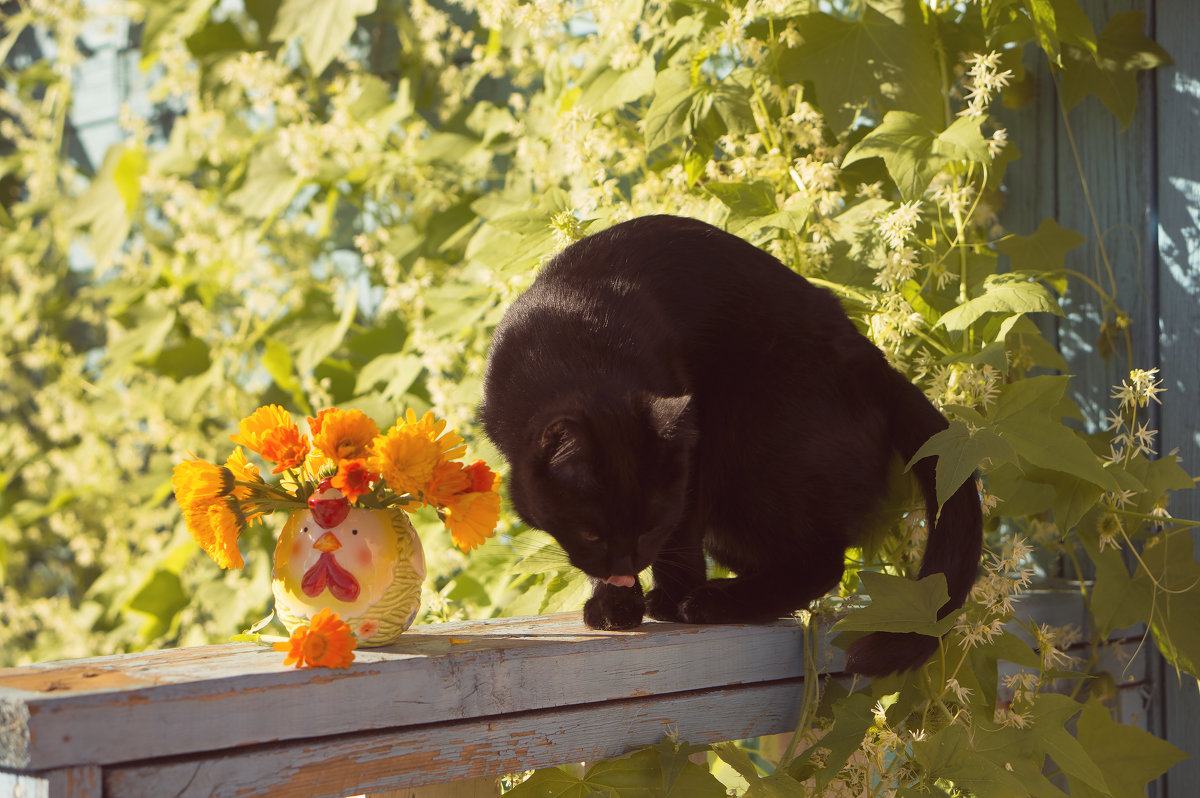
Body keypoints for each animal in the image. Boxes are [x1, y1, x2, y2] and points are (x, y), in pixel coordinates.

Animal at [477, 214, 984, 676]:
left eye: (649, 526)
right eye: (590, 534)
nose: (627, 565)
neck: (574, 348)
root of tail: (875, 362)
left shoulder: (693, 453)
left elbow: (681, 533)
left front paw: (667, 599)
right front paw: (616, 604)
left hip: (753, 443)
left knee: (823, 562)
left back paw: (714, 602)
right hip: (734, 516)